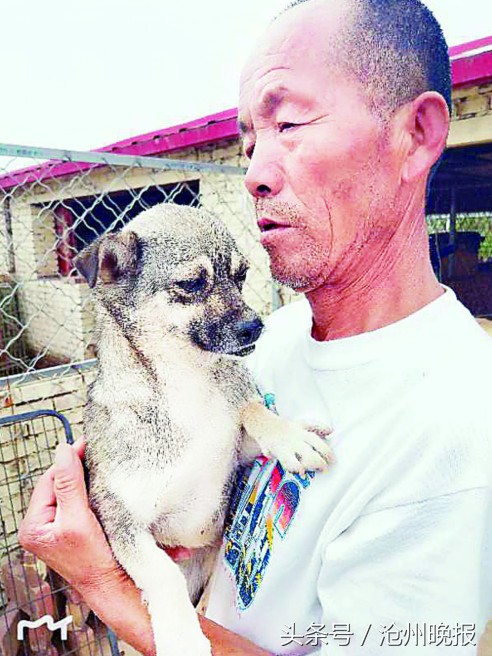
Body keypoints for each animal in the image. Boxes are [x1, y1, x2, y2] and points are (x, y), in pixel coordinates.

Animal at [75, 205, 332, 656]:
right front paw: (181, 637)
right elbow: (162, 575)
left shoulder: (236, 447)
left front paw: (290, 437)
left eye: (241, 275)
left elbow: (251, 409)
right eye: (192, 284)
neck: (185, 383)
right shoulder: (119, 520)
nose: (254, 326)